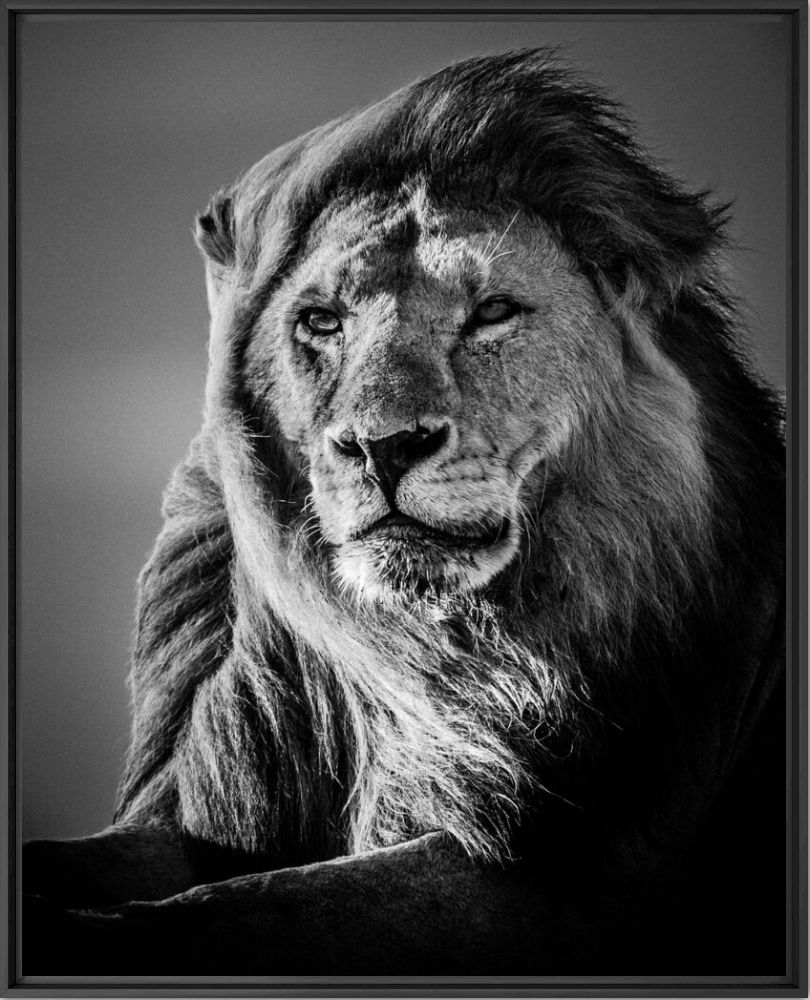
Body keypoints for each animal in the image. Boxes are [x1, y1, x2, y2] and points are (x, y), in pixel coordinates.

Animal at [23, 49, 786, 976]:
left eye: (492, 312)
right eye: (322, 321)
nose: (383, 447)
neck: (429, 655)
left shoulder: (581, 876)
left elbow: (272, 904)